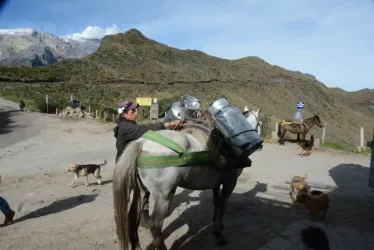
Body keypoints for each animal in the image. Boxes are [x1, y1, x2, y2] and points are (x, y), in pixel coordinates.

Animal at [114, 106, 262, 250]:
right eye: (260, 123)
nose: (259, 144)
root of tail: (142, 143)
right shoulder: (230, 182)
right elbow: (222, 207)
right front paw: (219, 235)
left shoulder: (216, 184)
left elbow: (216, 203)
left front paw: (216, 227)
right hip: (163, 195)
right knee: (155, 225)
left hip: (142, 191)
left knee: (133, 217)